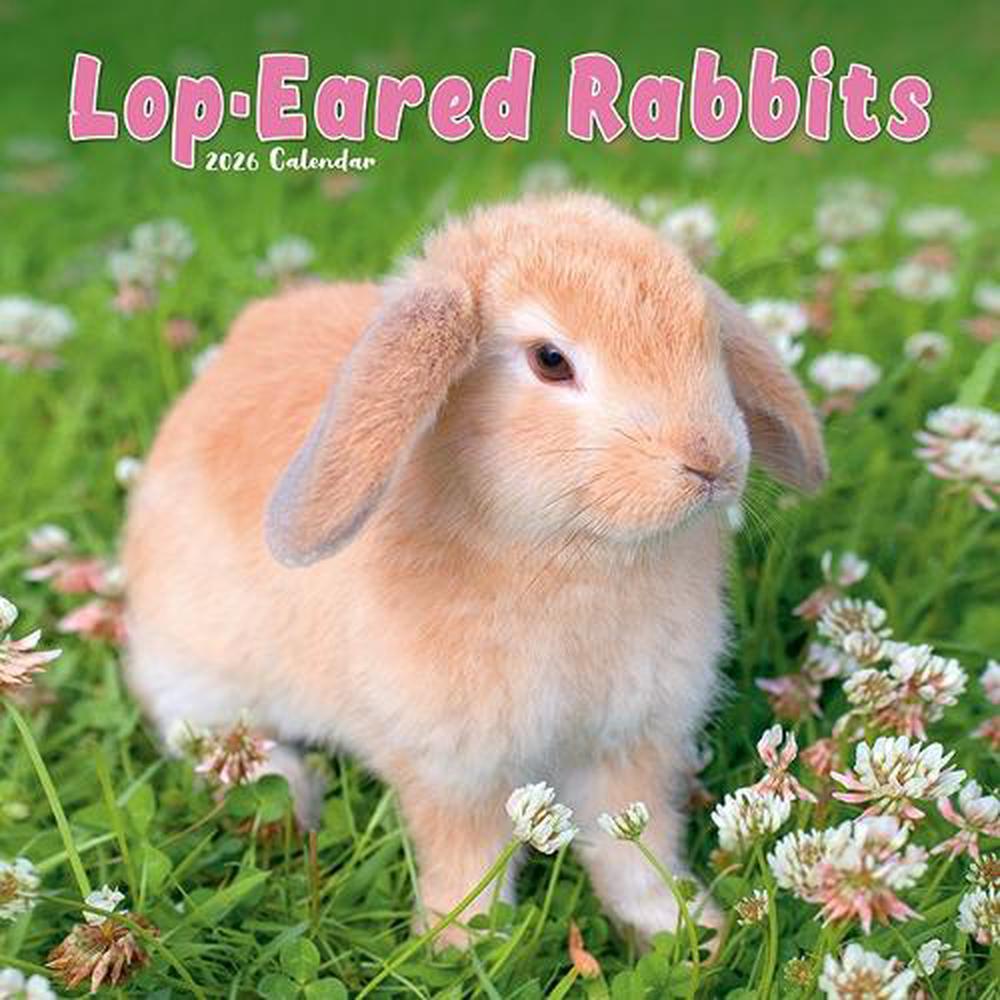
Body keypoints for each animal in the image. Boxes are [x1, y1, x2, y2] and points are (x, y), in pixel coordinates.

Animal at [122, 192, 826, 947]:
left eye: (708, 337)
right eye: (550, 360)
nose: (711, 460)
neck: (574, 554)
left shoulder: (630, 745)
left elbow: (637, 849)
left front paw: (686, 931)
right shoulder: (455, 767)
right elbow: (468, 860)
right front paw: (457, 944)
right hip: (199, 671)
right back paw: (288, 795)